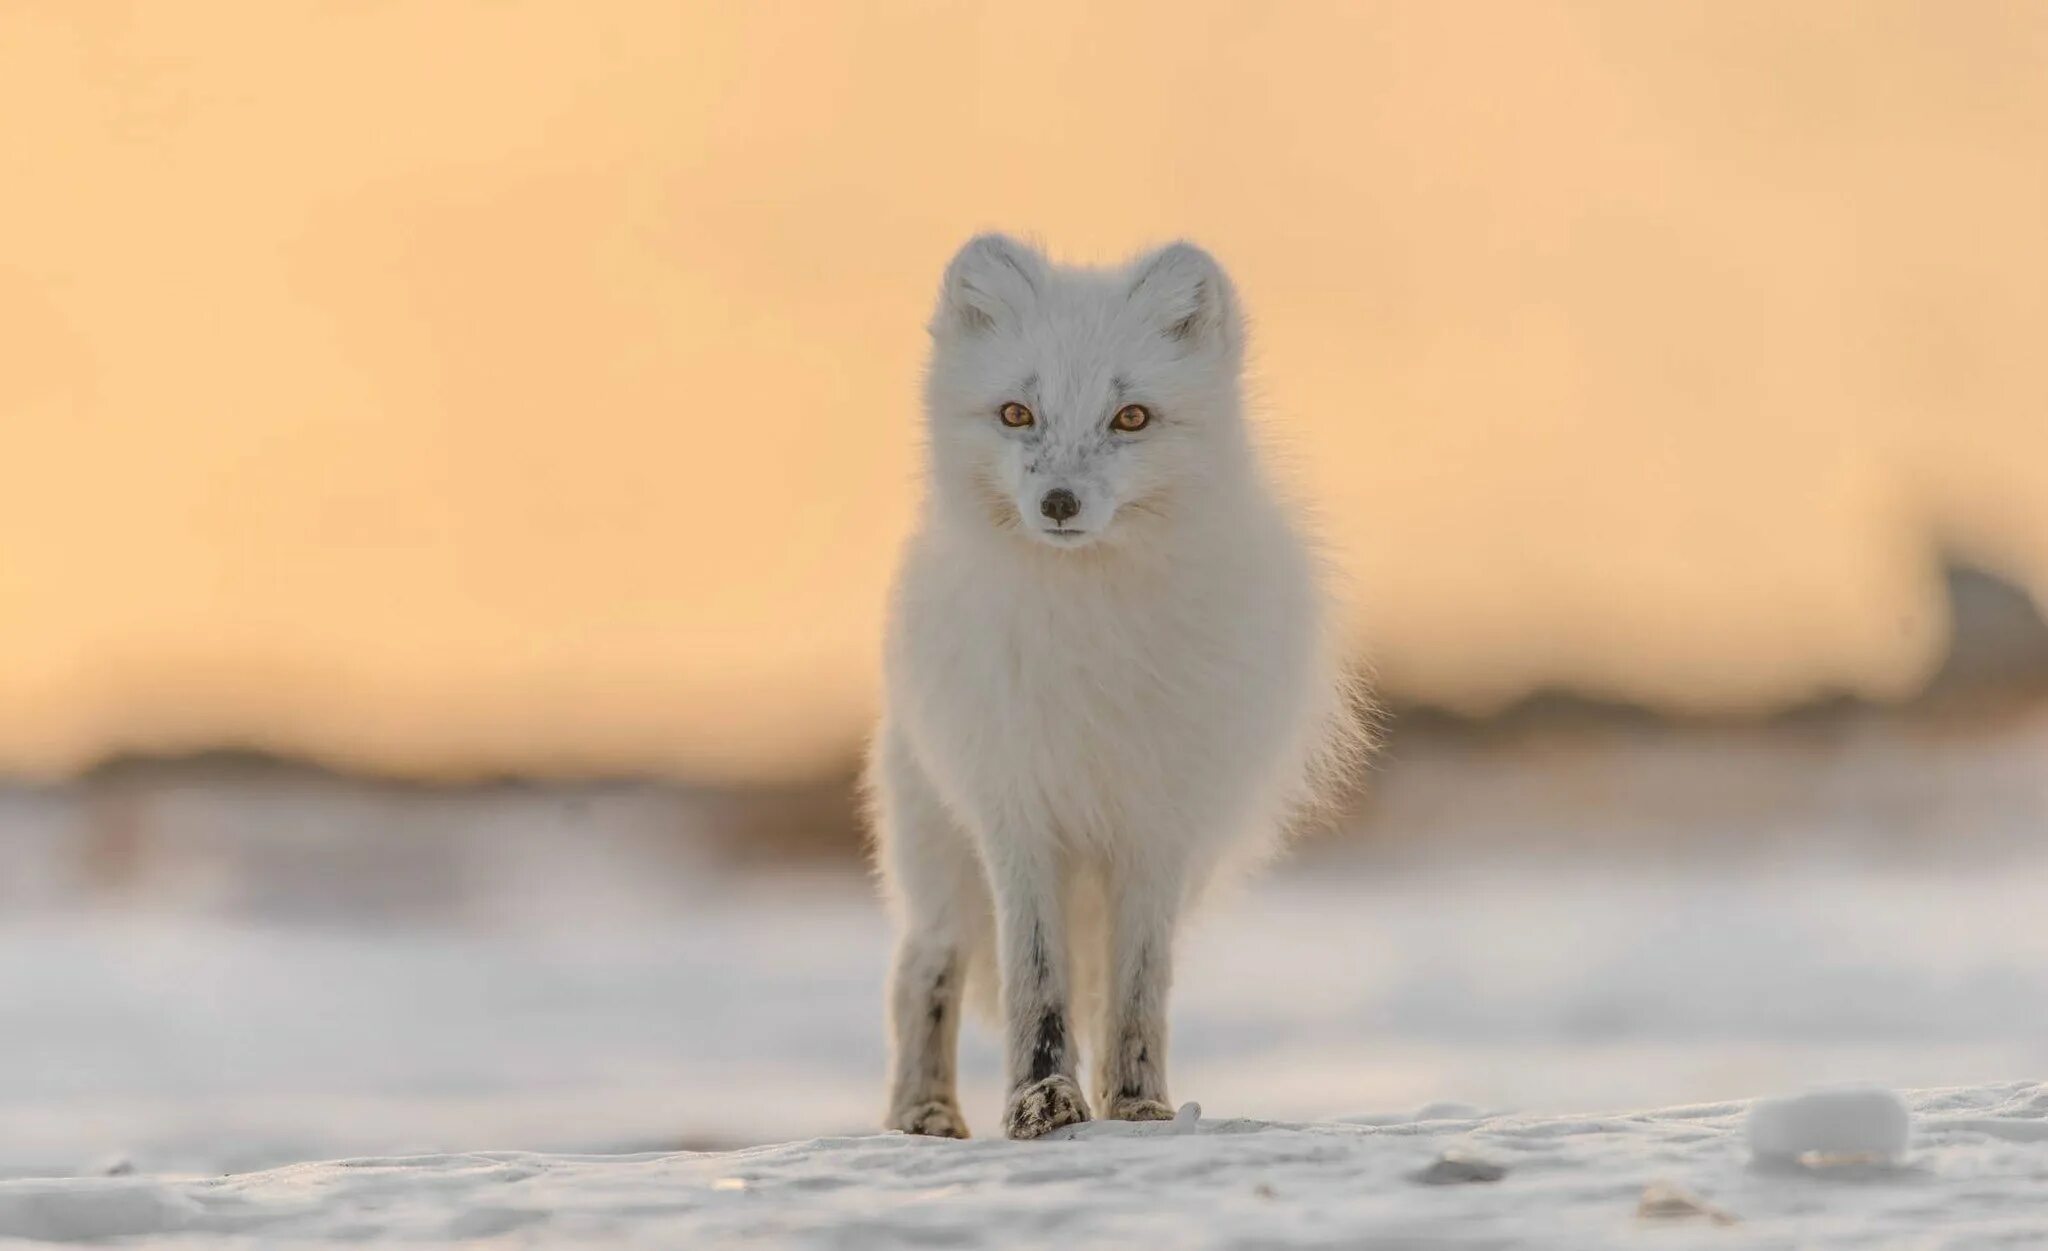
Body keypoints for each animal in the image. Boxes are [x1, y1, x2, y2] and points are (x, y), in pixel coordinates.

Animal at [864, 237, 1359, 1146]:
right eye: (1016, 413)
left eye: (1131, 418)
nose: (1058, 502)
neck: (1092, 632)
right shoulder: (1015, 809)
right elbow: (1035, 979)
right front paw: (1041, 1102)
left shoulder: (1158, 826)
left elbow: (1134, 989)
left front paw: (1135, 1105)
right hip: (937, 847)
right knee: (924, 965)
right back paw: (923, 1111)